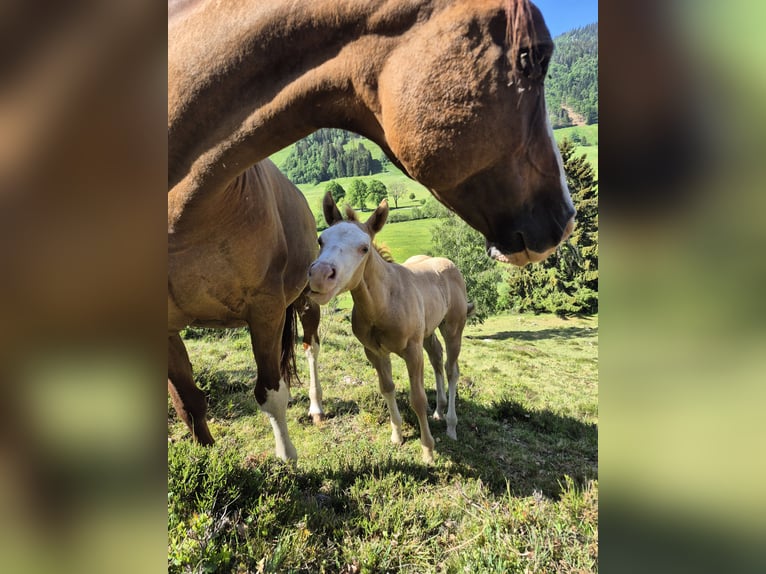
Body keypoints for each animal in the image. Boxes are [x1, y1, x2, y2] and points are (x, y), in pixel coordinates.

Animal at [168, 159, 325, 460]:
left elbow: (269, 392)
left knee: (310, 347)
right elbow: (188, 402)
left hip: (306, 298)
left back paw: (316, 408)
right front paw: (208, 458)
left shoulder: (266, 307)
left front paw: (286, 456)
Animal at [306, 192, 474, 463]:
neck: (384, 303)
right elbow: (387, 389)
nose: (319, 277)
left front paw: (428, 450)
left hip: (453, 327)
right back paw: (438, 411)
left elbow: (417, 399)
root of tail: (448, 264)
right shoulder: (374, 352)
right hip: (428, 331)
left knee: (451, 369)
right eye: (321, 240)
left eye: (364, 248)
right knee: (437, 357)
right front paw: (397, 436)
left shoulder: (412, 351)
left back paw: (450, 424)